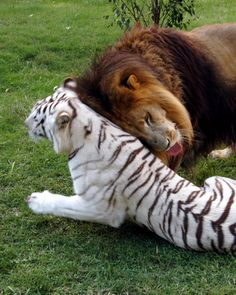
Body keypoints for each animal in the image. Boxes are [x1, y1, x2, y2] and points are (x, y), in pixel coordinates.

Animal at [25, 80, 236, 254]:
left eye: (36, 117)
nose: (25, 123)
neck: (92, 125)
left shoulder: (100, 207)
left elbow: (64, 205)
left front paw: (35, 200)